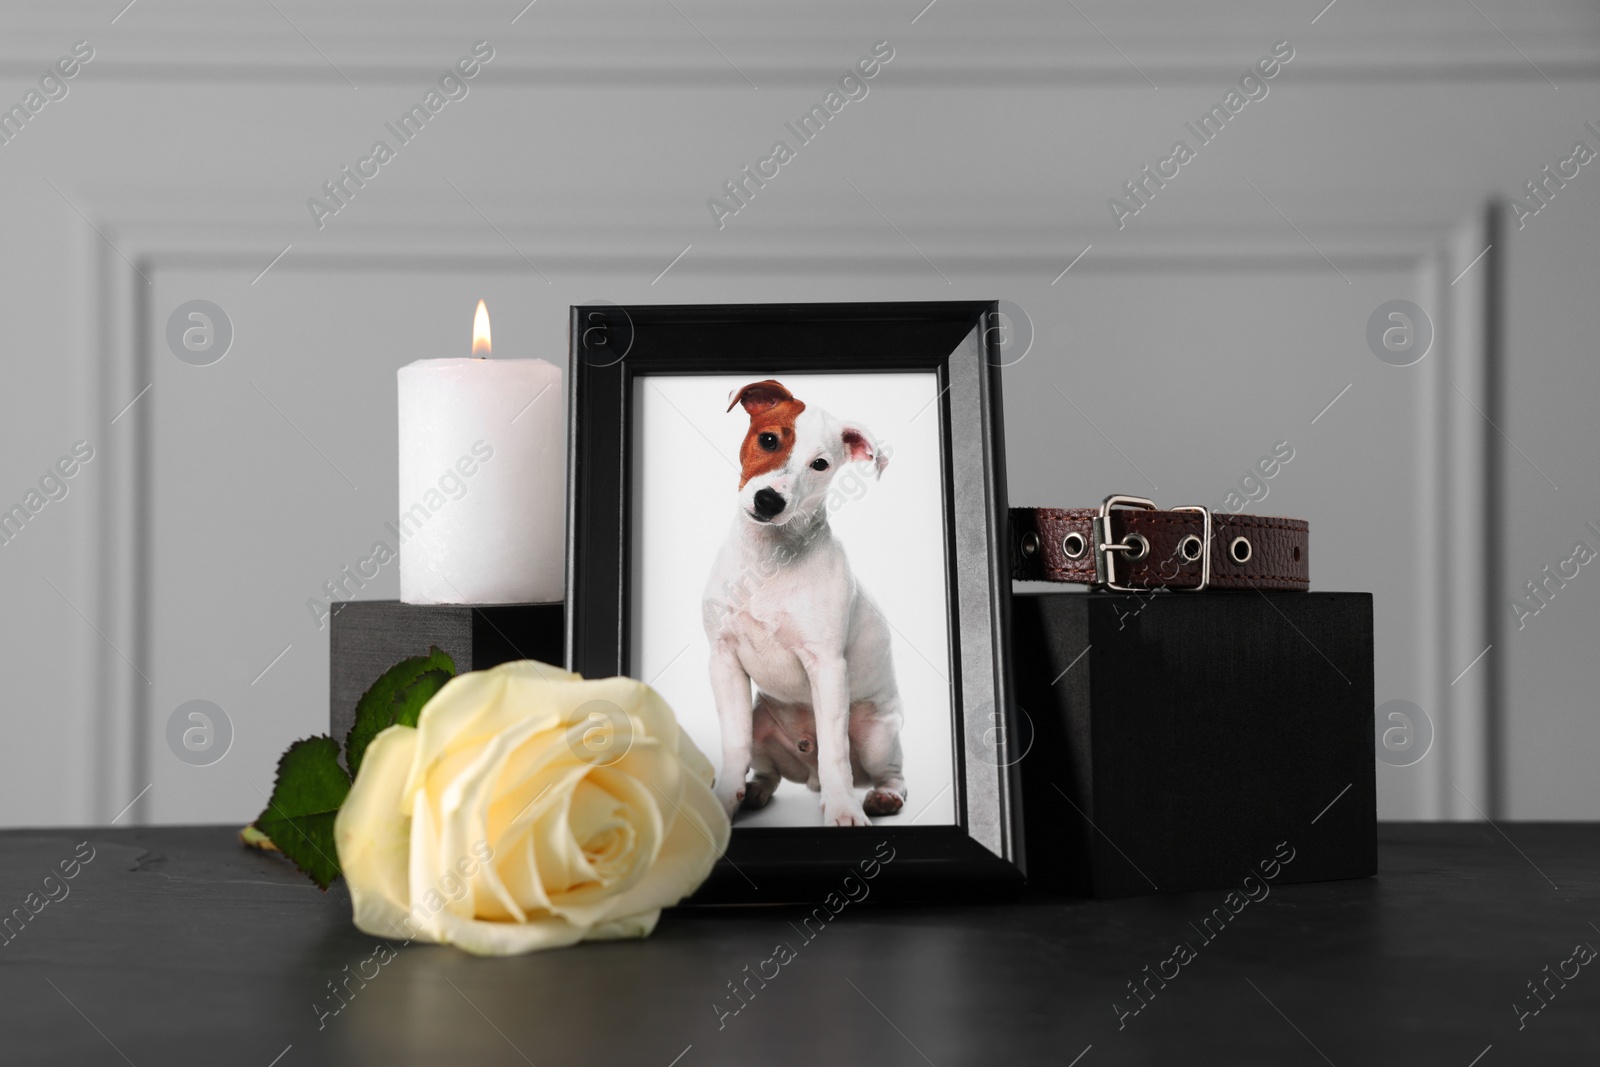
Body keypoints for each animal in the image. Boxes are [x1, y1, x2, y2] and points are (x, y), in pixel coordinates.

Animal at [704, 379, 908, 831]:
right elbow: (734, 746)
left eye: (820, 464)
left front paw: (844, 810)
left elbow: (834, 753)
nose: (769, 501)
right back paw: (754, 793)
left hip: (876, 734)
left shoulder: (828, 668)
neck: (768, 558)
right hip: (762, 722)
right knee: (767, 771)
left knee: (889, 771)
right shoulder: (724, 660)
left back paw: (882, 796)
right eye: (768, 439)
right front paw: (723, 801)